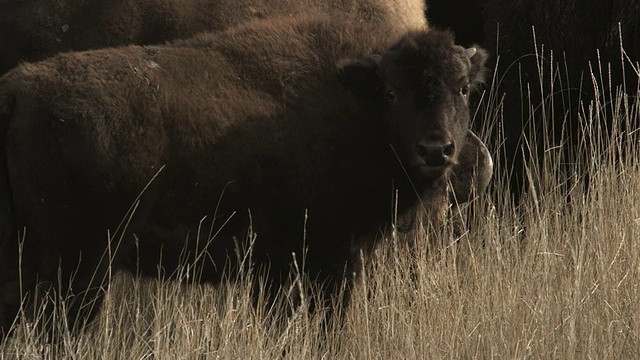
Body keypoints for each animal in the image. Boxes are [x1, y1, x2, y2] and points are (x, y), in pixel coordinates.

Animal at [0, 14, 490, 334]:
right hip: (78, 267)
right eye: (392, 92)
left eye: (463, 88)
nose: (436, 150)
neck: (356, 104)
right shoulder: (323, 260)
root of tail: (17, 93)